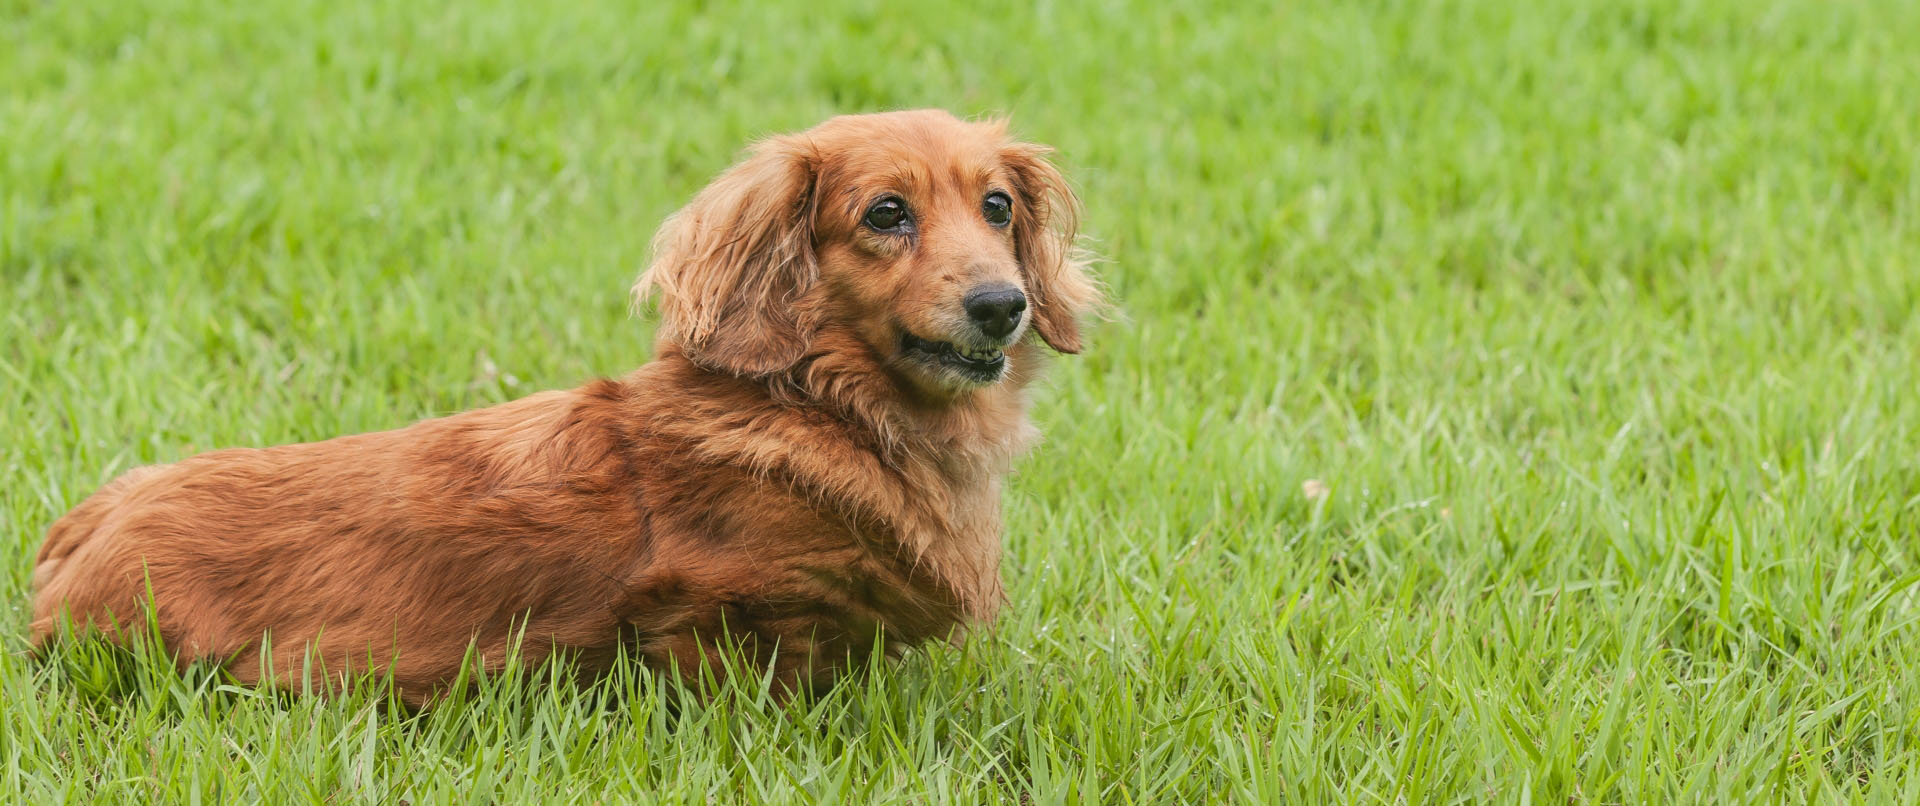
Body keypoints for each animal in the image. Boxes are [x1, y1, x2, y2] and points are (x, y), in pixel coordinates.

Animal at [30, 108, 1105, 706]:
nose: (1002, 306)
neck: (823, 409)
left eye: (999, 206)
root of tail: (76, 535)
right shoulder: (726, 618)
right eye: (886, 213)